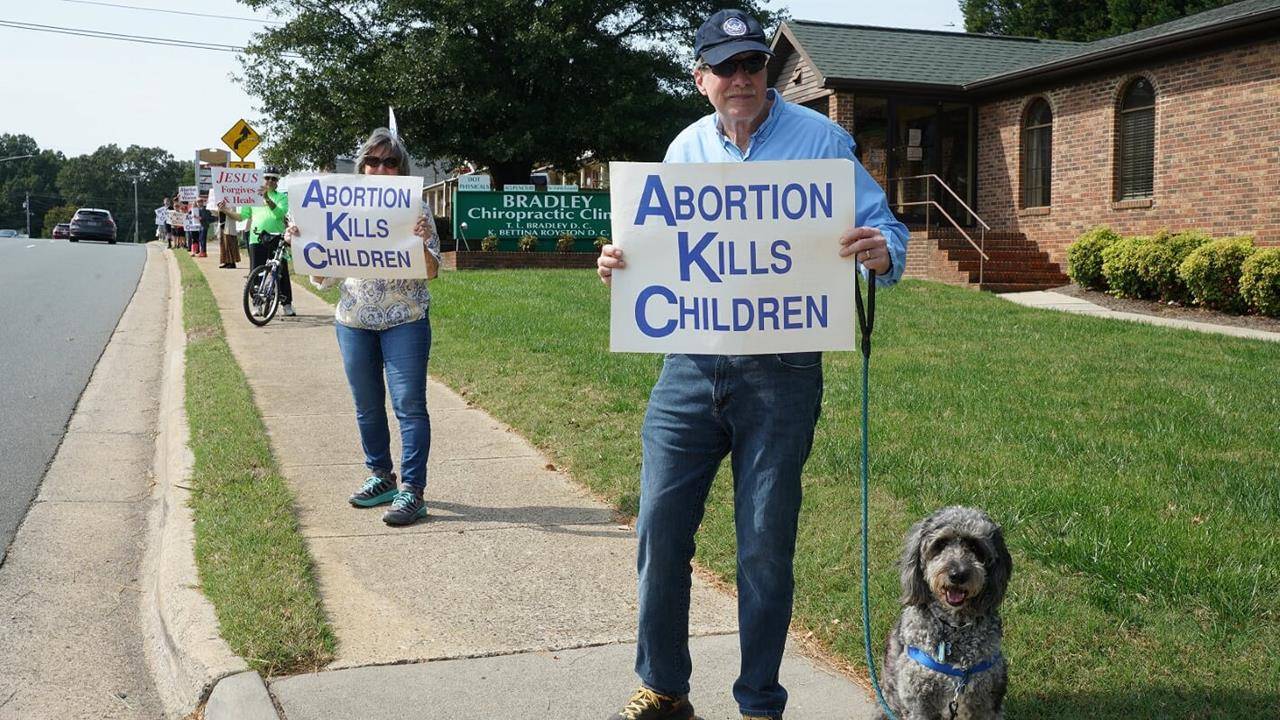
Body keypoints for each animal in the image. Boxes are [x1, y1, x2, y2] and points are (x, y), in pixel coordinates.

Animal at [880, 504, 1008, 717]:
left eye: (975, 547)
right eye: (940, 544)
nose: (958, 574)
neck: (954, 628)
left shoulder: (987, 700)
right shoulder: (917, 701)